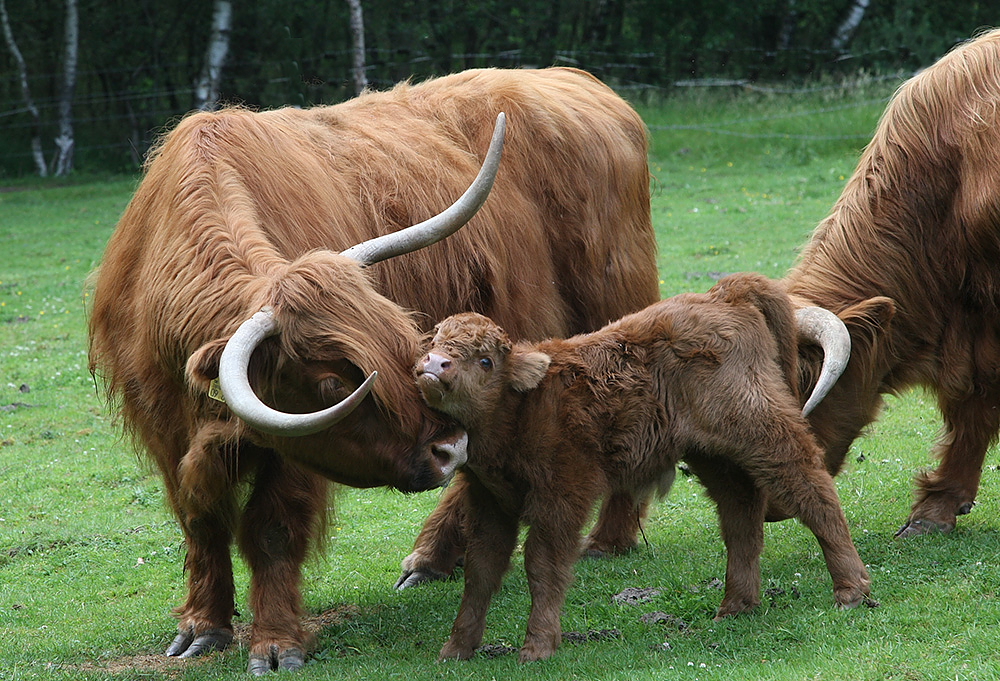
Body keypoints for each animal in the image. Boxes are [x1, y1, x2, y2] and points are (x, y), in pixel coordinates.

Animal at [90, 66, 660, 672]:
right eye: (331, 383)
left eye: (404, 344)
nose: (448, 448)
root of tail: (572, 79)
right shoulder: (165, 427)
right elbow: (200, 521)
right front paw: (202, 626)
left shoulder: (296, 452)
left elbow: (272, 528)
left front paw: (276, 644)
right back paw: (434, 559)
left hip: (612, 303)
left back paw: (605, 540)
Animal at [414, 270, 868, 660]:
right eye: (437, 341)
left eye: (485, 361)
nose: (435, 365)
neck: (521, 408)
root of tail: (722, 295)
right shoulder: (490, 505)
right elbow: (481, 573)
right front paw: (456, 648)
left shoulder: (562, 498)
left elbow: (543, 566)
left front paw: (537, 647)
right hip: (713, 456)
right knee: (741, 517)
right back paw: (736, 606)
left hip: (761, 430)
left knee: (811, 490)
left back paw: (851, 591)